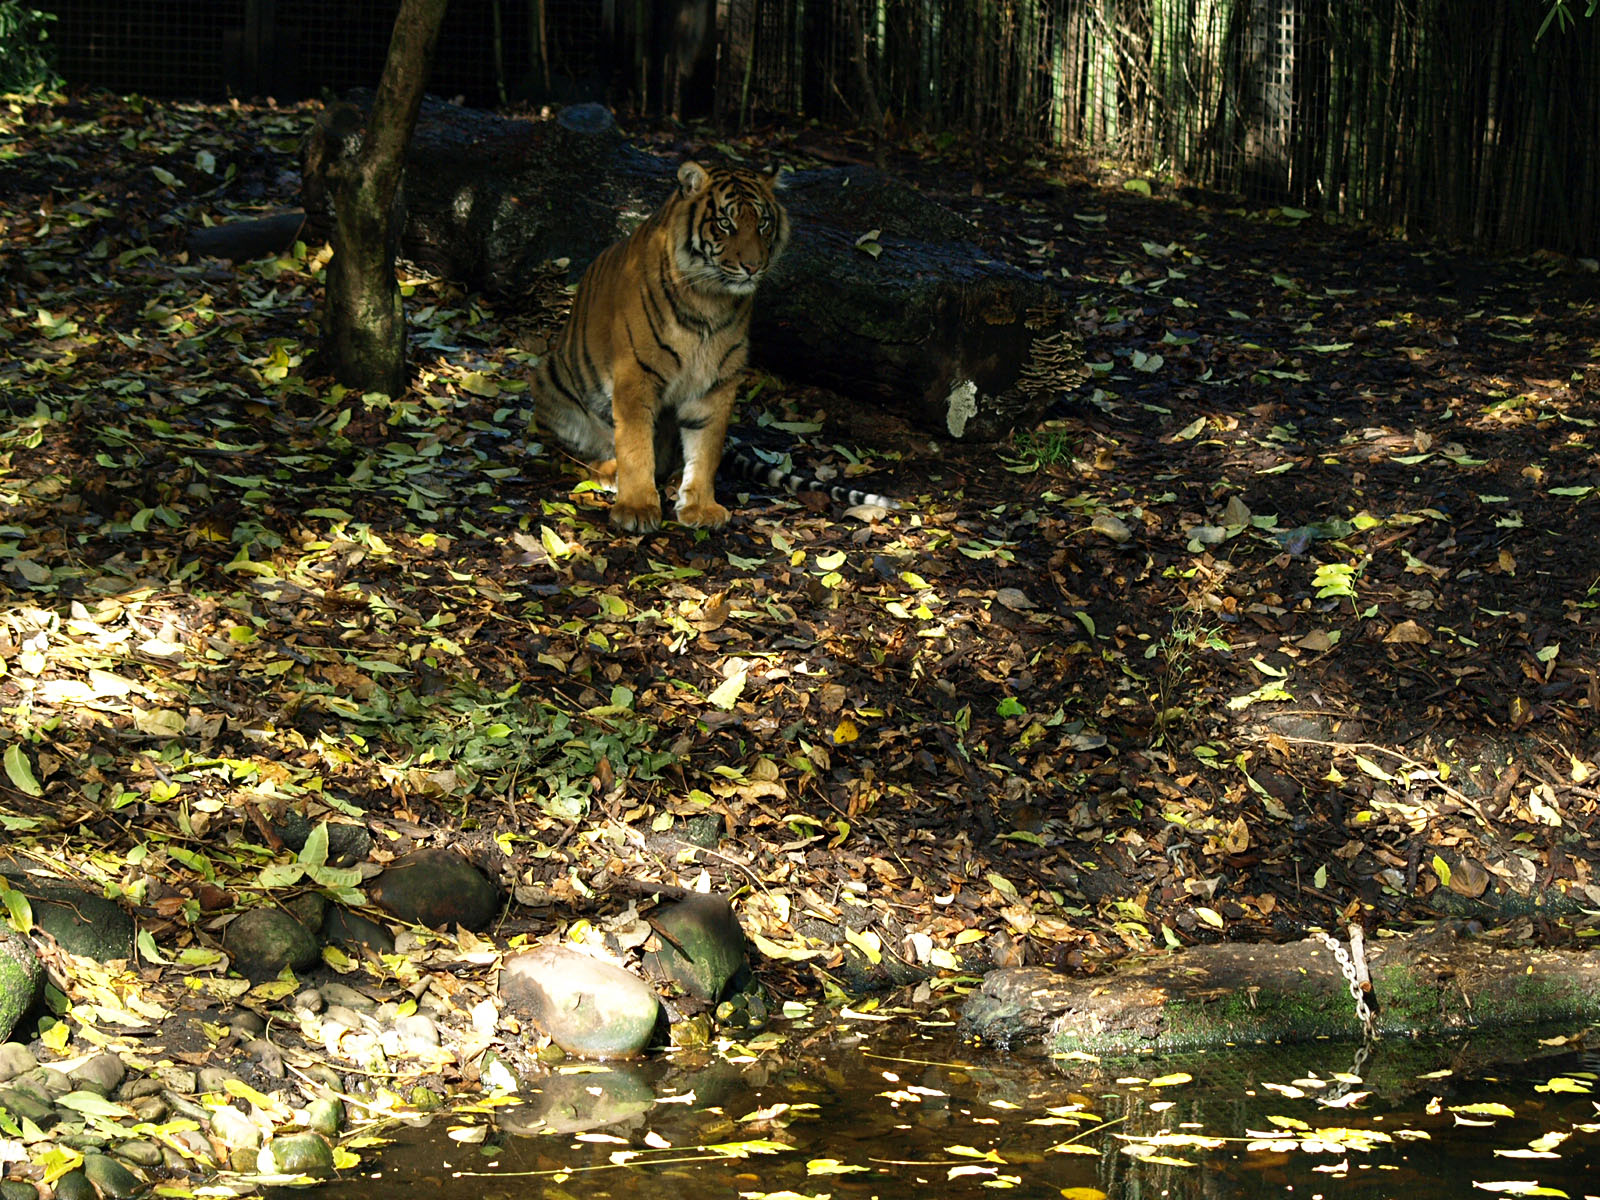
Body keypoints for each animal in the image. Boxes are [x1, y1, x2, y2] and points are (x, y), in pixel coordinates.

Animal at [532, 159, 791, 533]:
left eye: (763, 223)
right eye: (725, 223)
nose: (753, 267)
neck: (709, 300)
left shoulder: (717, 381)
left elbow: (706, 447)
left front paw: (700, 506)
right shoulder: (635, 374)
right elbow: (635, 445)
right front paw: (637, 508)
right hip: (550, 377)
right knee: (573, 452)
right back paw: (609, 471)